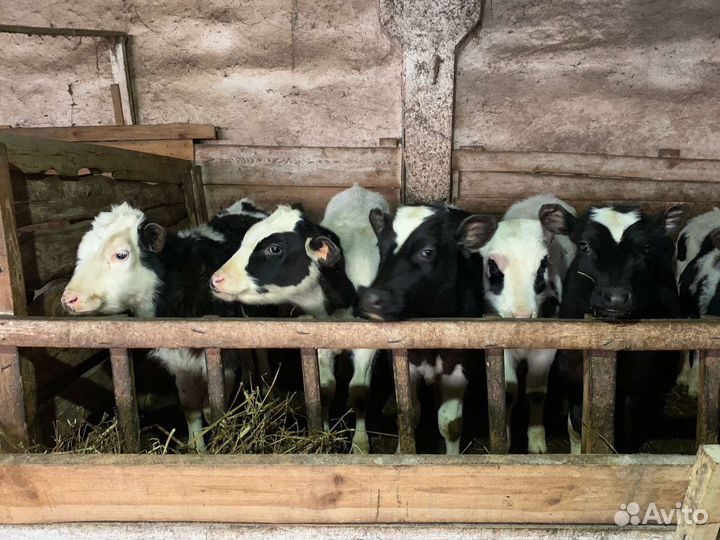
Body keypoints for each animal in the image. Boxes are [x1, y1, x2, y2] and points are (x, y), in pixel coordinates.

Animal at [61, 200, 269, 452]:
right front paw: (197, 448)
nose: (69, 298)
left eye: (121, 255)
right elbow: (191, 409)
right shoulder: (179, 361)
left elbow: (214, 409)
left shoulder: (223, 358)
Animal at [210, 184, 389, 454]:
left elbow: (359, 393)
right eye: (245, 240)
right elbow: (324, 389)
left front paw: (360, 443)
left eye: (274, 248)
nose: (216, 279)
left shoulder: (367, 345)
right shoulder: (321, 340)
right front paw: (323, 432)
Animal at [357, 204, 487, 454]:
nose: (370, 298)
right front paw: (403, 452)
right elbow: (408, 414)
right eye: (381, 246)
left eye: (427, 251)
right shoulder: (405, 363)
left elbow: (450, 422)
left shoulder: (459, 365)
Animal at [452, 194, 577, 453]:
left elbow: (536, 392)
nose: (520, 315)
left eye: (543, 264)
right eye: (492, 265)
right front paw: (505, 440)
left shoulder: (547, 348)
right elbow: (507, 393)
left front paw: (537, 441)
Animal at [541, 203, 684, 453]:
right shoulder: (572, 371)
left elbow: (626, 426)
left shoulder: (636, 382)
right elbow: (578, 424)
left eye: (646, 248)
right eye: (584, 245)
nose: (616, 298)